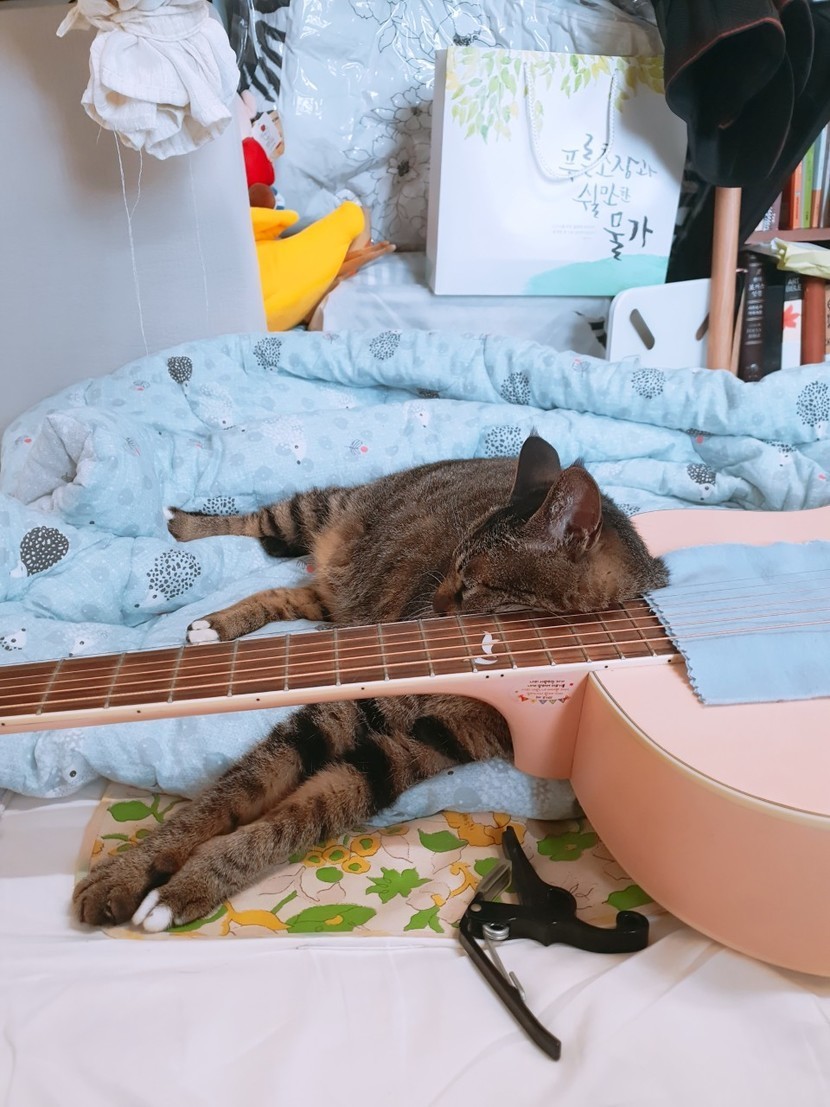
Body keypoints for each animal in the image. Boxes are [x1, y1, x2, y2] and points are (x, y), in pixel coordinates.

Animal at [73, 436, 668, 931]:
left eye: (471, 581)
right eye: (452, 566)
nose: (434, 602)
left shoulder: (418, 746)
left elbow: (295, 817)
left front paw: (188, 886)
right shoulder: (352, 709)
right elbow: (228, 794)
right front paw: (127, 872)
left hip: (335, 604)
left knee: (288, 595)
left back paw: (219, 622)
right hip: (319, 511)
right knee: (262, 522)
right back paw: (181, 528)